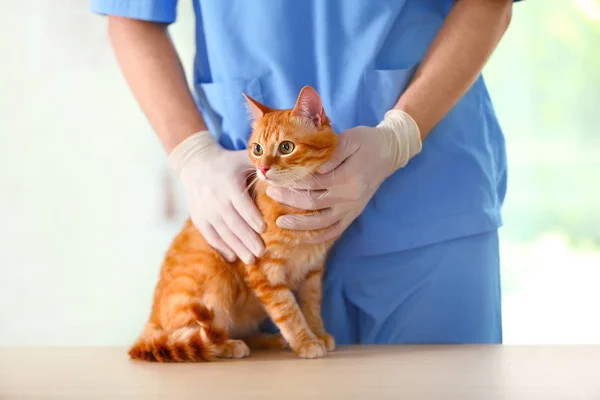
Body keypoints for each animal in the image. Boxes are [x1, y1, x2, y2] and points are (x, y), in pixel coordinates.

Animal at [127, 86, 338, 360]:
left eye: (286, 147)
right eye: (257, 149)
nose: (263, 168)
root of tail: (150, 322)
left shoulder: (313, 268)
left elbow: (311, 305)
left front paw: (318, 333)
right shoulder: (264, 270)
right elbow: (288, 311)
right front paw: (305, 341)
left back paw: (269, 340)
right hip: (216, 278)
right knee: (193, 335)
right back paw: (227, 345)